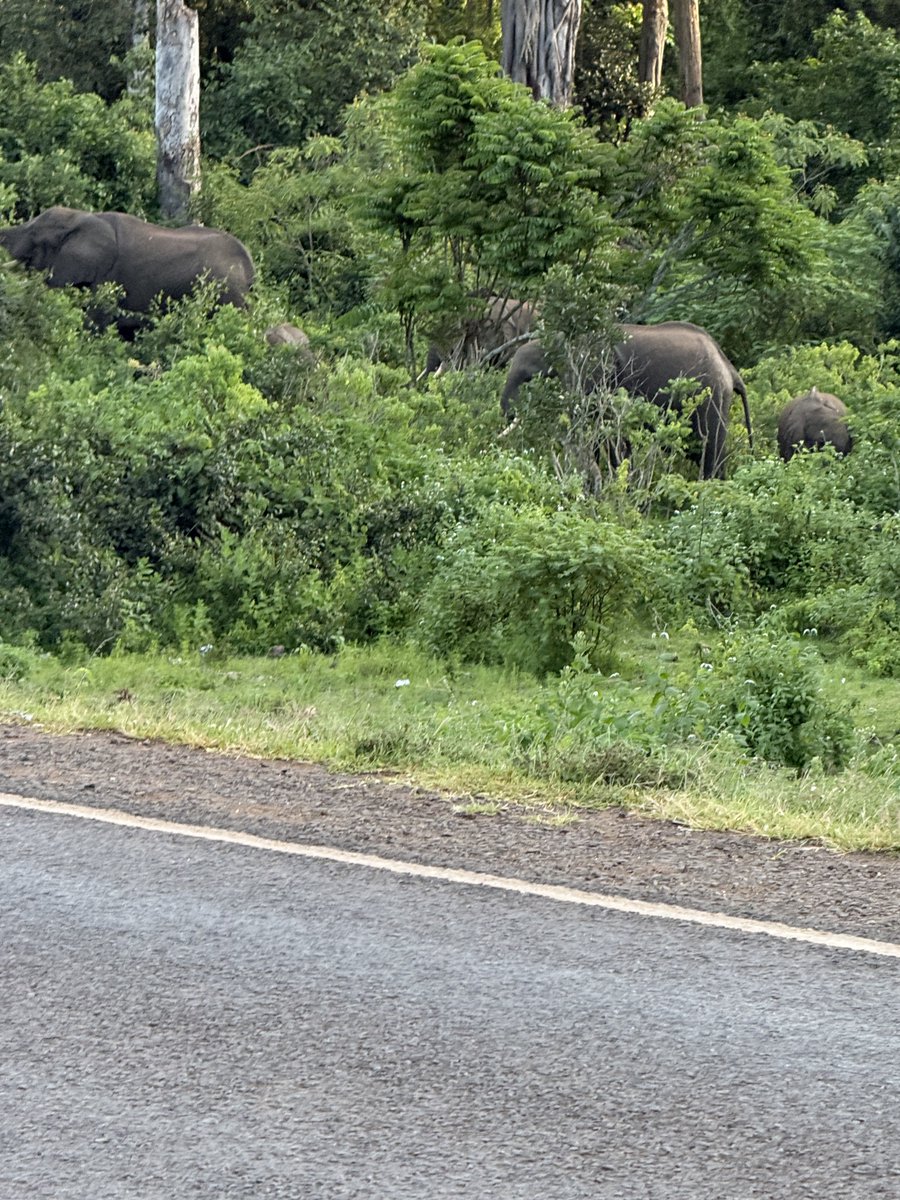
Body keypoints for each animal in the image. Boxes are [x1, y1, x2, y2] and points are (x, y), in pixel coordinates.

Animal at [0, 206, 255, 336]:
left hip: (227, 294)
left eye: (34, 236)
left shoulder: (106, 279)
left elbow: (94, 322)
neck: (84, 218)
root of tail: (249, 267)